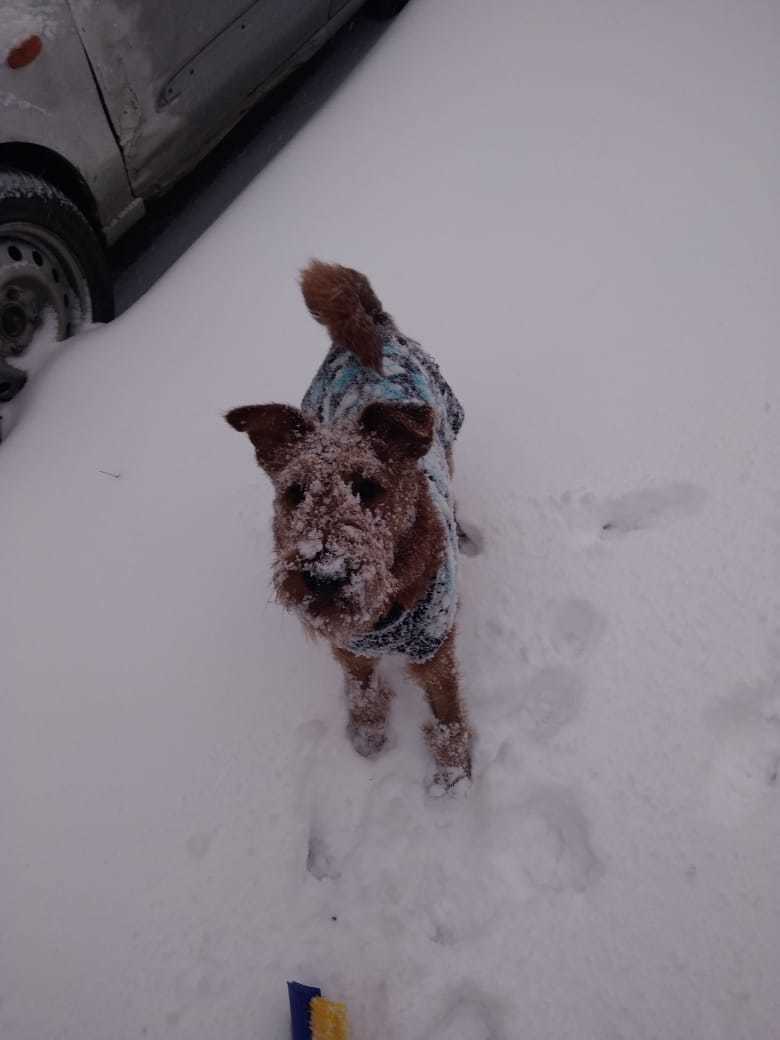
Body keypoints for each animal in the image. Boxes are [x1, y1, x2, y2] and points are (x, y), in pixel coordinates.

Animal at [222, 264, 474, 790]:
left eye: (367, 487)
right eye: (294, 492)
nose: (323, 575)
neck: (383, 613)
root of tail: (365, 330)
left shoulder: (434, 649)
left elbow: (446, 714)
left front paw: (455, 773)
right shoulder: (349, 648)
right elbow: (361, 691)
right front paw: (367, 734)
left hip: (447, 428)